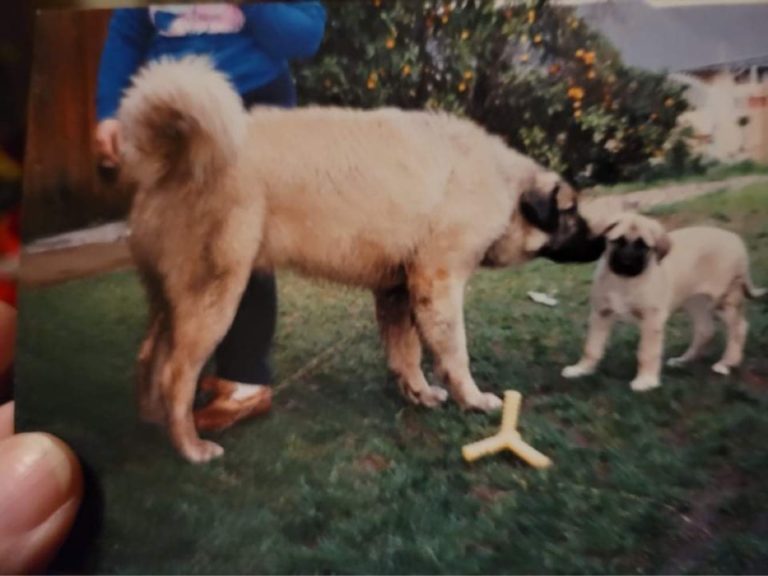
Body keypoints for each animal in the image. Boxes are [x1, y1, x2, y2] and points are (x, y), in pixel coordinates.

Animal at [117, 57, 608, 464]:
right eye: (571, 214)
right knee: (176, 375)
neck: (504, 185)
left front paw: (419, 394)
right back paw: (191, 447)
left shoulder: (397, 291)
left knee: (148, 357)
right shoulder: (438, 284)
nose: (604, 242)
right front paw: (473, 399)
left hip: (172, 299)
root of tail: (174, 153)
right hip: (215, 298)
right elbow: (454, 352)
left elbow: (406, 353)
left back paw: (153, 422)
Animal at [560, 212, 764, 392]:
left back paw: (726, 363)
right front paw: (581, 369)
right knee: (705, 330)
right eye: (618, 241)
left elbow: (647, 353)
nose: (627, 263)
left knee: (739, 328)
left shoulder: (651, 319)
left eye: (643, 246)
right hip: (694, 301)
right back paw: (683, 360)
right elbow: (591, 347)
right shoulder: (601, 313)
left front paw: (646, 380)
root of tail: (735, 238)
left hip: (723, 299)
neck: (624, 282)